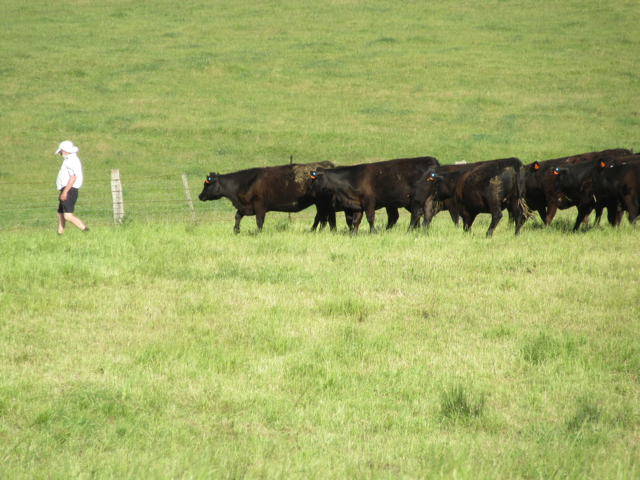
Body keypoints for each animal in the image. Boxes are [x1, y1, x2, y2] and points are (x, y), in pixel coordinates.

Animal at [200, 161, 338, 232]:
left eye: (206, 184)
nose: (199, 196)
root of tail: (327, 164)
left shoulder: (259, 206)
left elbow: (259, 221)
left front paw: (258, 233)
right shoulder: (245, 206)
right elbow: (237, 216)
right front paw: (236, 230)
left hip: (323, 202)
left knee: (327, 216)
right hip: (320, 203)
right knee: (321, 217)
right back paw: (315, 231)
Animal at [306, 157, 438, 233]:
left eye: (314, 180)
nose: (308, 192)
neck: (351, 178)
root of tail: (430, 161)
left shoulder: (368, 201)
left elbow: (370, 217)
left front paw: (373, 232)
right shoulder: (356, 204)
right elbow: (356, 220)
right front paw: (353, 233)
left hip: (417, 198)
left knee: (416, 213)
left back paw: (409, 231)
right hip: (428, 197)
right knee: (427, 214)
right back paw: (424, 231)